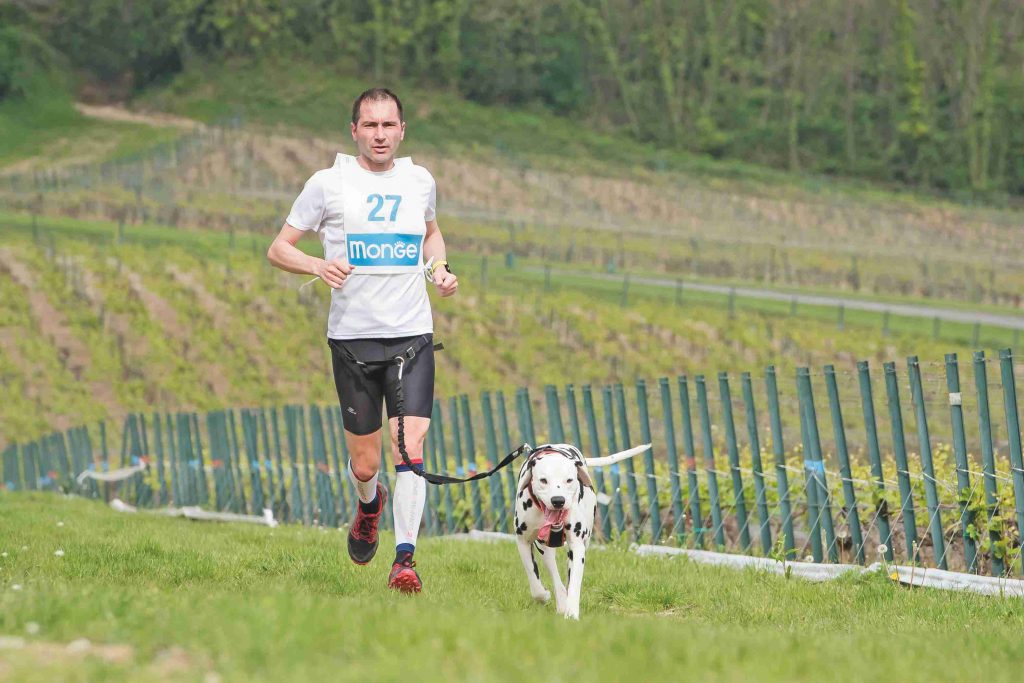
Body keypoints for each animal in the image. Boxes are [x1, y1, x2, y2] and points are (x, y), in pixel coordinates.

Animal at [512, 440, 647, 622]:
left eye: (569, 480)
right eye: (543, 480)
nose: (558, 500)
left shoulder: (577, 546)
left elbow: (575, 582)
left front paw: (572, 613)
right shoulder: (523, 541)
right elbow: (534, 581)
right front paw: (544, 595)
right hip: (544, 549)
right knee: (555, 575)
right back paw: (560, 600)